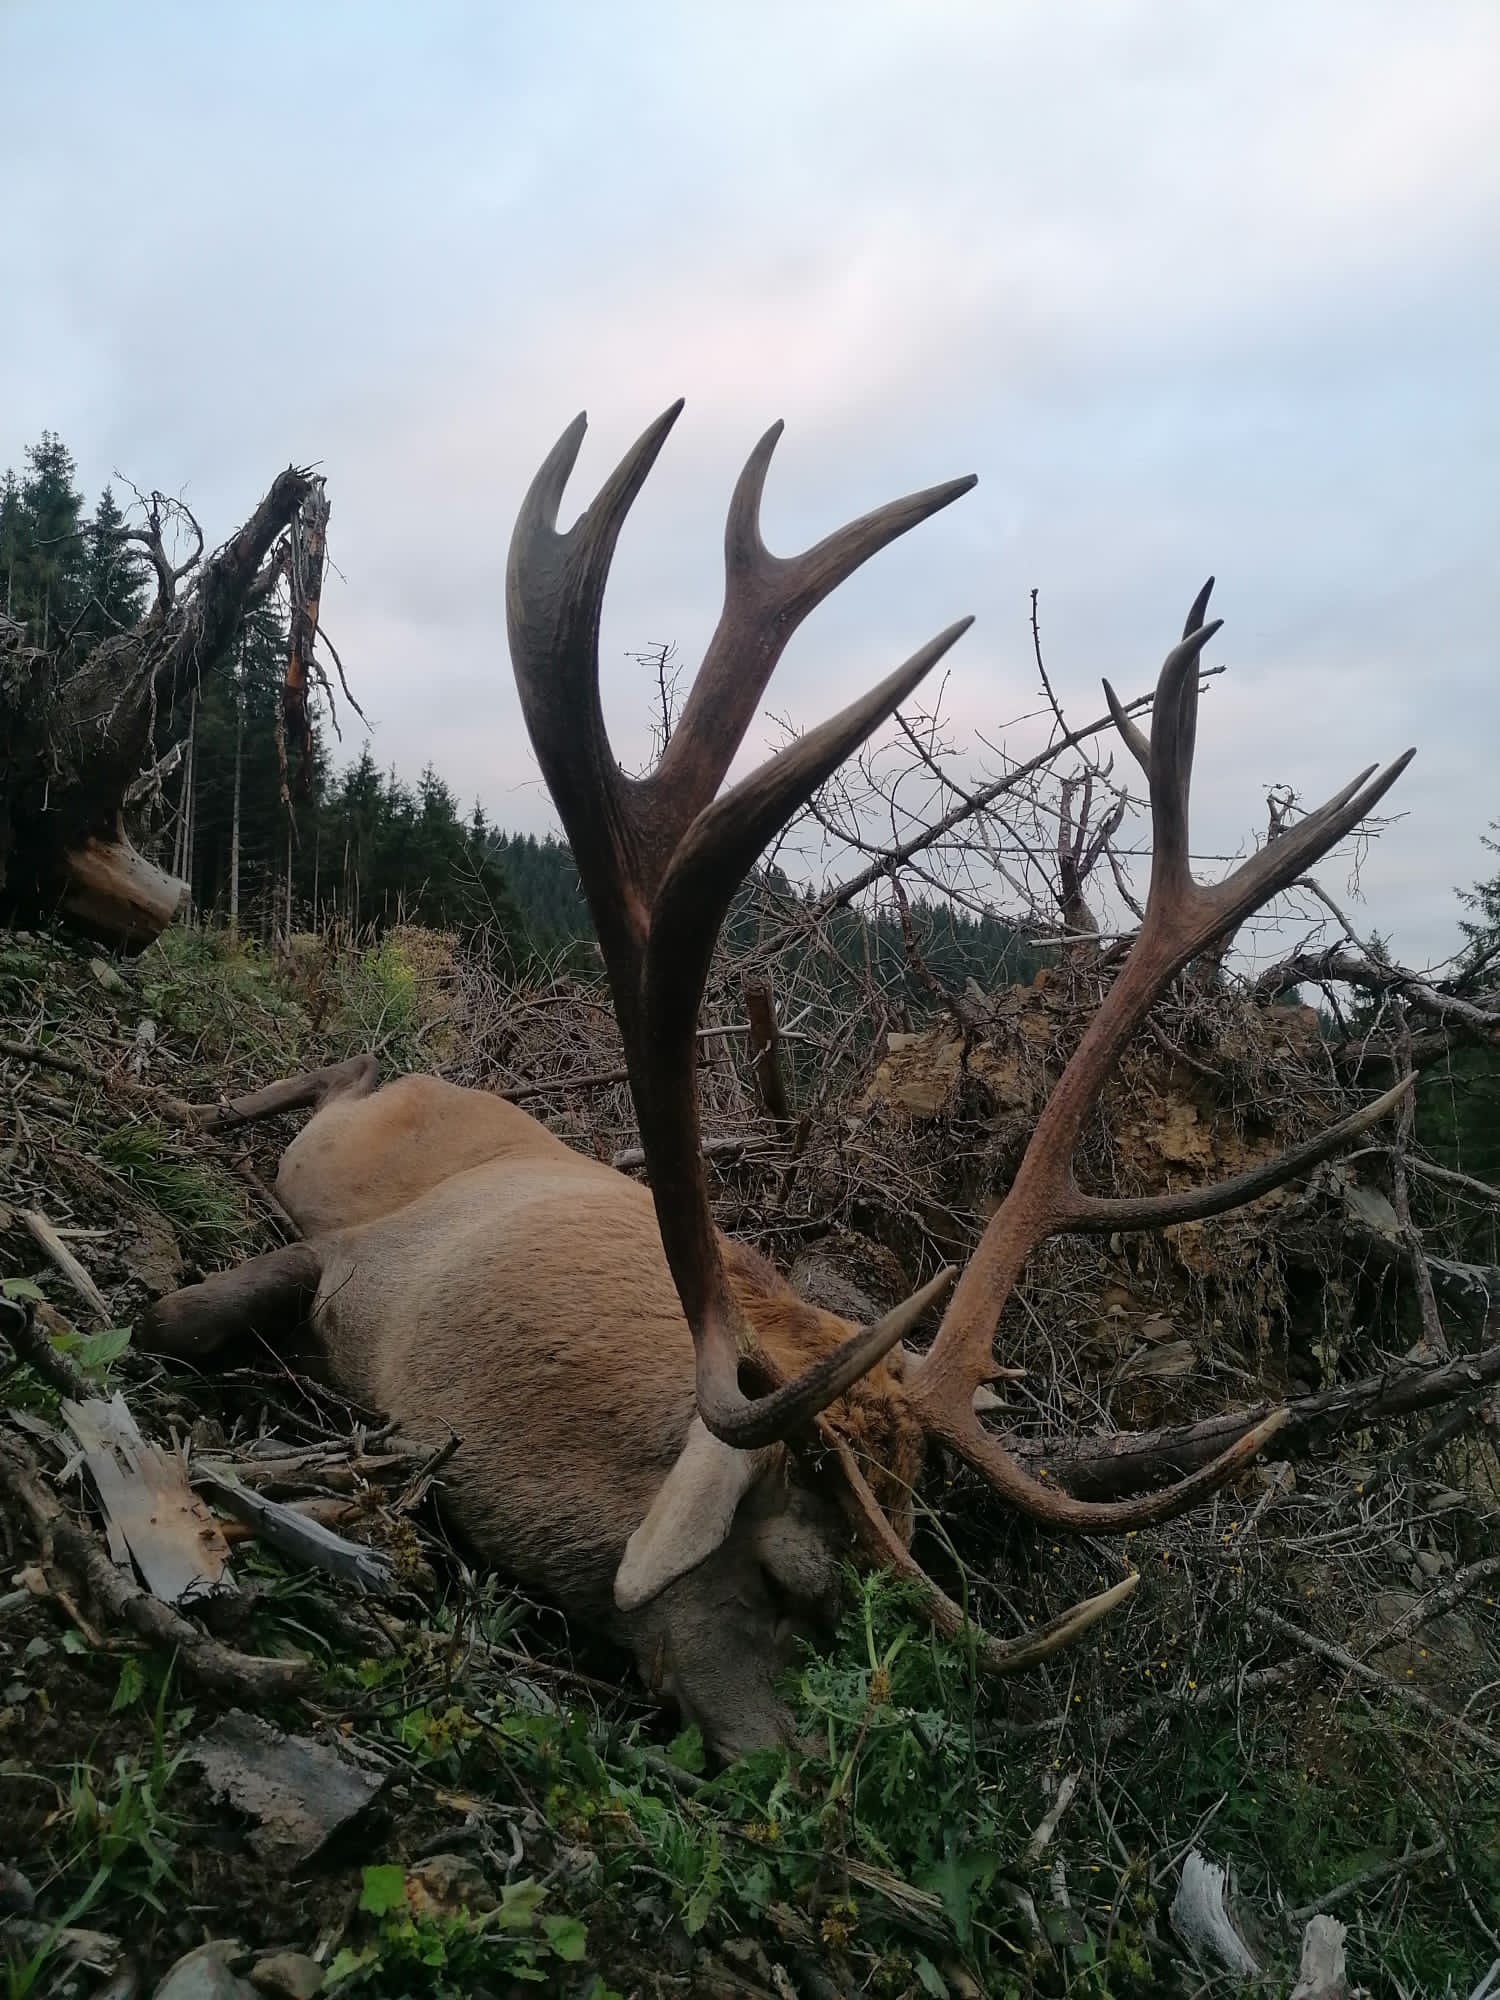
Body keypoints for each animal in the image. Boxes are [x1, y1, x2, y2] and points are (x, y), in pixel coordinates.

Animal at [140, 403, 1414, 1762]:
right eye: (789, 1574)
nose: (800, 1769)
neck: (445, 1372)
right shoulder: (346, 1257)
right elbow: (173, 1316)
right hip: (346, 1129)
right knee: (339, 1065)